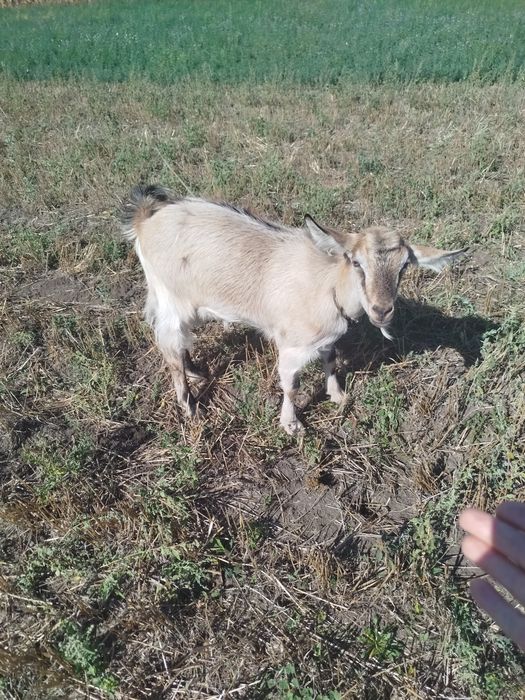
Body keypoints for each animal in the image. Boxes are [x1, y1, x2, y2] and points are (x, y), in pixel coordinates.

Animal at [121, 185, 465, 434]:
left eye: (404, 267)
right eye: (356, 262)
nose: (382, 310)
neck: (329, 285)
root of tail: (145, 220)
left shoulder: (326, 339)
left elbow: (331, 361)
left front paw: (338, 396)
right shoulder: (291, 345)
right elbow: (291, 384)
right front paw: (292, 424)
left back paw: (195, 371)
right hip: (170, 298)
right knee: (168, 346)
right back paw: (189, 404)